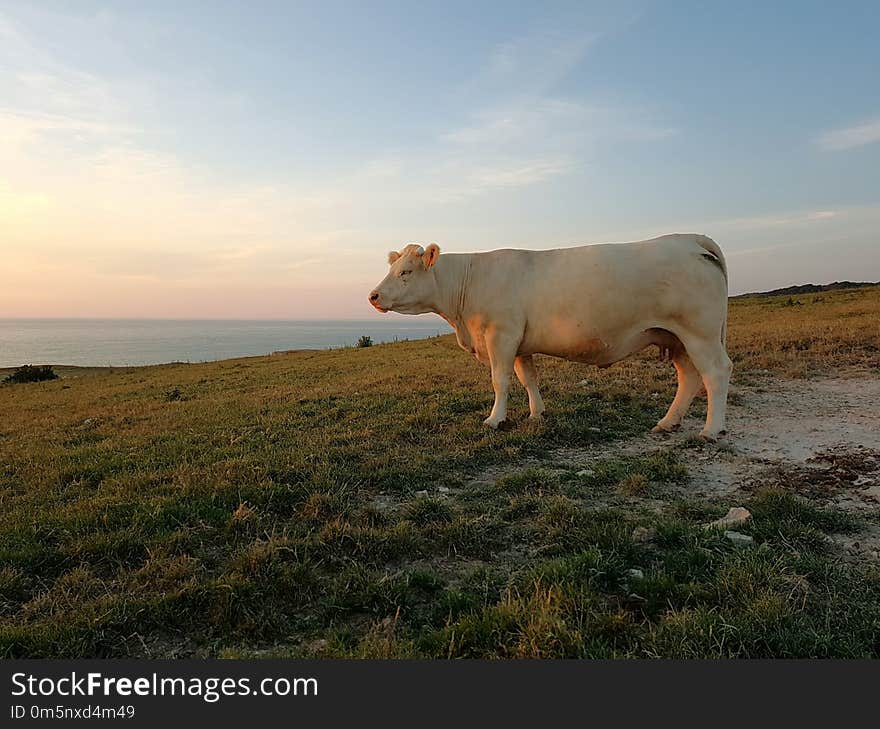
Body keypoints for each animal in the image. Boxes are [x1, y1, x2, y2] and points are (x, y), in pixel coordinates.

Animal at [368, 235, 732, 438]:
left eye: (406, 272)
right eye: (392, 268)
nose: (373, 295)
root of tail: (687, 238)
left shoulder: (501, 335)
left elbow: (500, 381)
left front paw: (495, 420)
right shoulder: (519, 343)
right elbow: (528, 378)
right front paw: (537, 413)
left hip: (700, 333)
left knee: (715, 373)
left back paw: (711, 430)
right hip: (676, 337)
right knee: (689, 377)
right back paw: (668, 422)